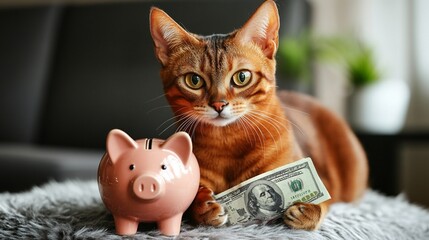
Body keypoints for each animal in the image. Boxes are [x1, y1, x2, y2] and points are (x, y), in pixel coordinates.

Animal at [149, 0, 366, 230]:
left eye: (242, 77)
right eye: (194, 80)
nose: (218, 104)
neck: (228, 141)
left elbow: (324, 199)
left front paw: (308, 210)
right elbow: (192, 199)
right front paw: (203, 205)